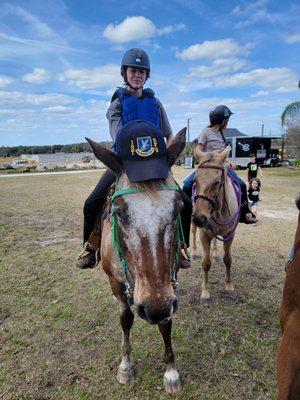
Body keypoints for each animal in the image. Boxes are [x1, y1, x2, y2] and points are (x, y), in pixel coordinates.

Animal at [85, 129, 186, 394]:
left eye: (178, 208)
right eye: (118, 211)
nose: (154, 308)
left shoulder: (169, 285)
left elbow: (166, 324)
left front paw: (170, 372)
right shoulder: (115, 282)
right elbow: (126, 319)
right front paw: (125, 366)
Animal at [190, 147, 241, 304]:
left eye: (217, 182)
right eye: (195, 180)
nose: (199, 218)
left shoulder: (230, 235)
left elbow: (228, 260)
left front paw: (229, 287)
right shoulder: (204, 234)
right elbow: (206, 263)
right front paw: (205, 293)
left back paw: (215, 252)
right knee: (193, 232)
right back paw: (193, 252)